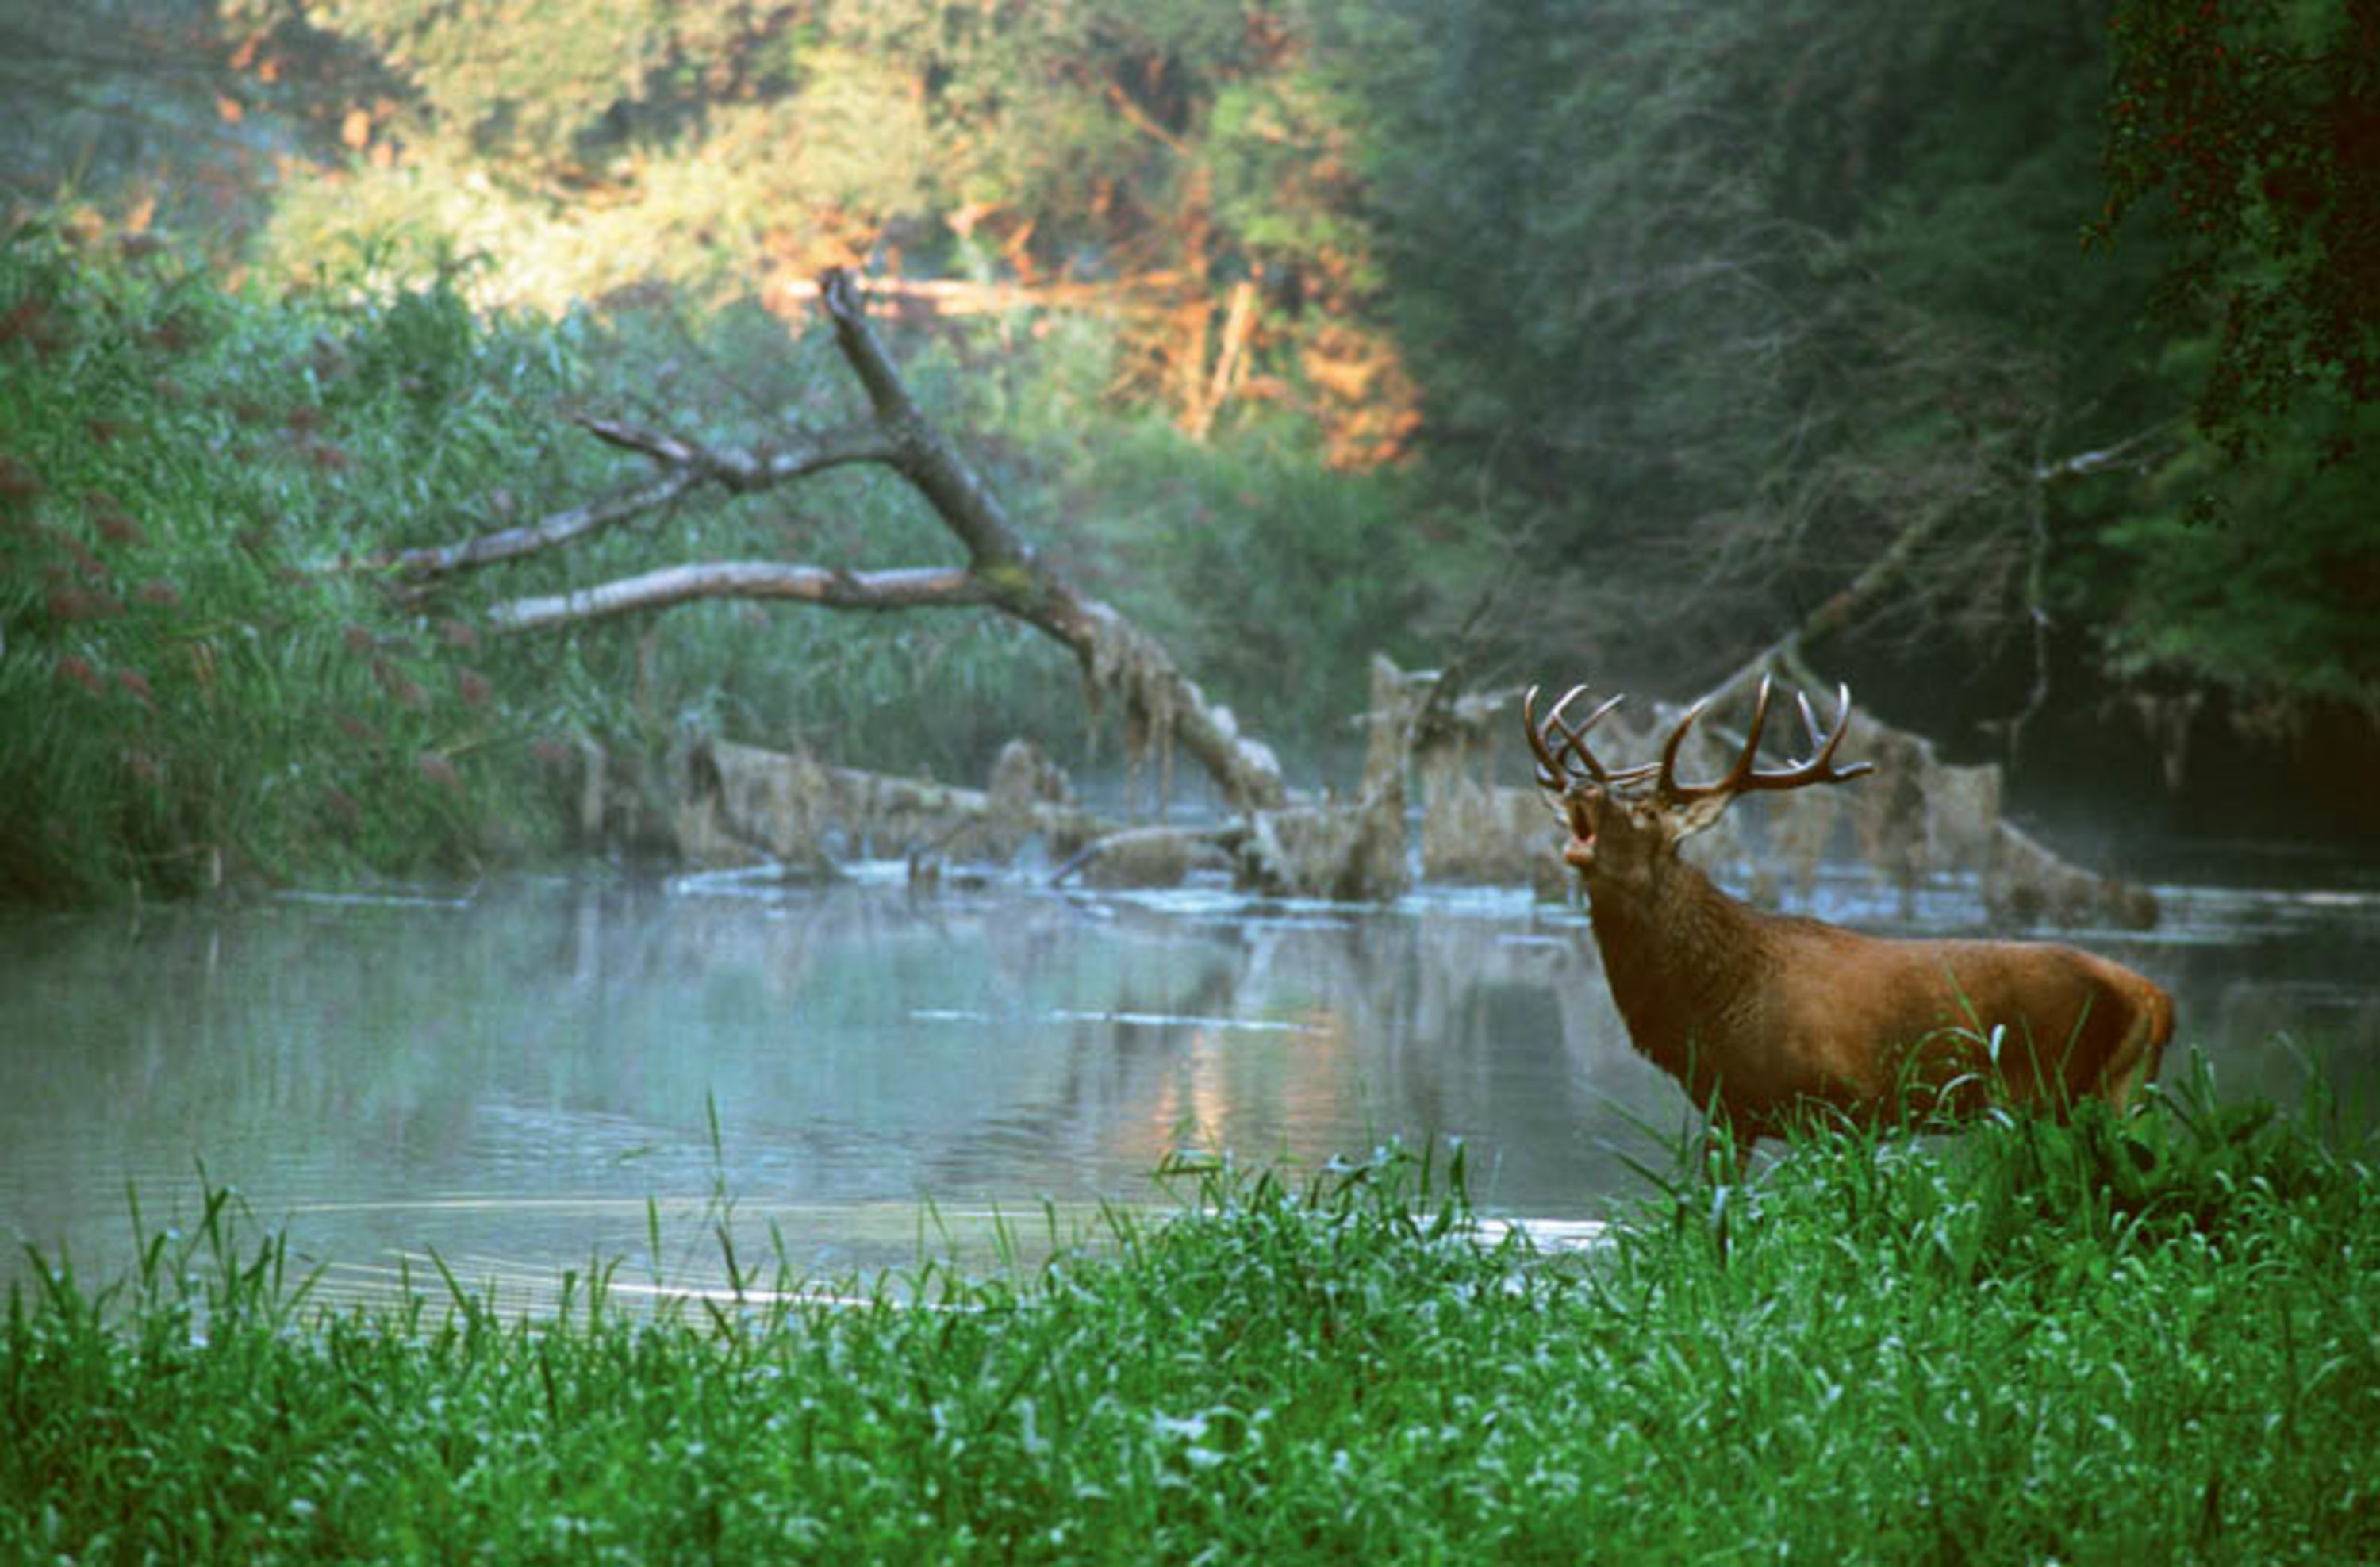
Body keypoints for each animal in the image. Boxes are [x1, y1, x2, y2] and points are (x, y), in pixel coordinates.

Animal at [1523, 677, 2173, 1153]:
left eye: (1648, 813)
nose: (1582, 789)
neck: (1714, 1002)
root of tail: (2154, 999)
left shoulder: (1839, 1104)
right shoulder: (1729, 1108)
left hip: (2067, 1088)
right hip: (2119, 1090)